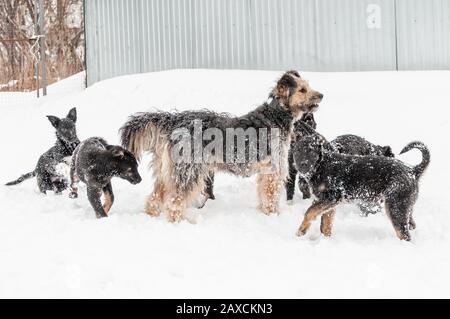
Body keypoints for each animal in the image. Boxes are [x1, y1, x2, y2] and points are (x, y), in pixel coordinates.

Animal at [119, 71, 324, 224]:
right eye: (303, 90)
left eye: (308, 85)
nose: (322, 95)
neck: (277, 114)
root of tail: (173, 120)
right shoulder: (273, 172)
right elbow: (271, 196)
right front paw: (273, 216)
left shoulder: (265, 172)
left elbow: (263, 195)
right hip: (189, 172)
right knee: (174, 202)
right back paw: (181, 222)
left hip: (169, 173)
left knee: (155, 198)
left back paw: (151, 217)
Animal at [294, 131, 430, 242]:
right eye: (298, 151)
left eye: (311, 151)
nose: (303, 165)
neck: (322, 165)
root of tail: (412, 171)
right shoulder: (329, 203)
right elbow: (325, 225)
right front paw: (325, 240)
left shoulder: (332, 197)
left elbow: (309, 212)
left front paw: (301, 231)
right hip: (405, 206)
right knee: (411, 225)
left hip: (395, 208)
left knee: (404, 234)